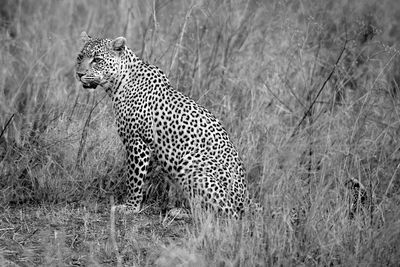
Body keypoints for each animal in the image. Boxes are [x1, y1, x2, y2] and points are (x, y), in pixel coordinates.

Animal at [75, 32, 256, 219]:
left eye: (97, 59)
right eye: (80, 57)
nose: (79, 74)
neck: (117, 84)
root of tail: (247, 200)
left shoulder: (137, 141)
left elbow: (134, 178)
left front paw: (130, 207)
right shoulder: (147, 147)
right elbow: (143, 176)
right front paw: (140, 202)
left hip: (190, 165)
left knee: (223, 213)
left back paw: (180, 212)